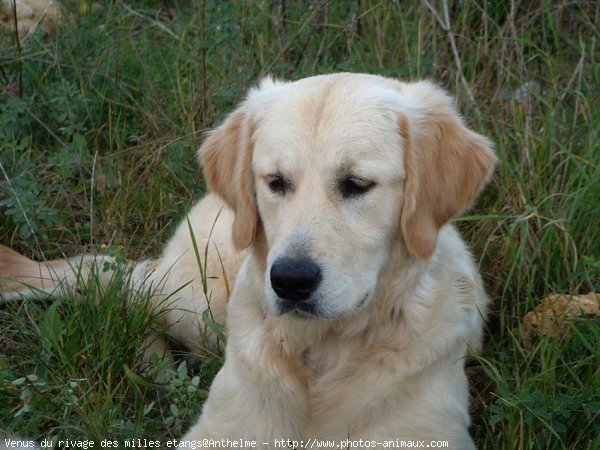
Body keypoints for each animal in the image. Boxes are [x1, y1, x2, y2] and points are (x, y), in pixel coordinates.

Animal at [0, 73, 496, 446]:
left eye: (357, 184)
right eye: (275, 181)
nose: (290, 281)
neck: (321, 355)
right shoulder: (220, 429)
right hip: (193, 304)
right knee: (129, 297)